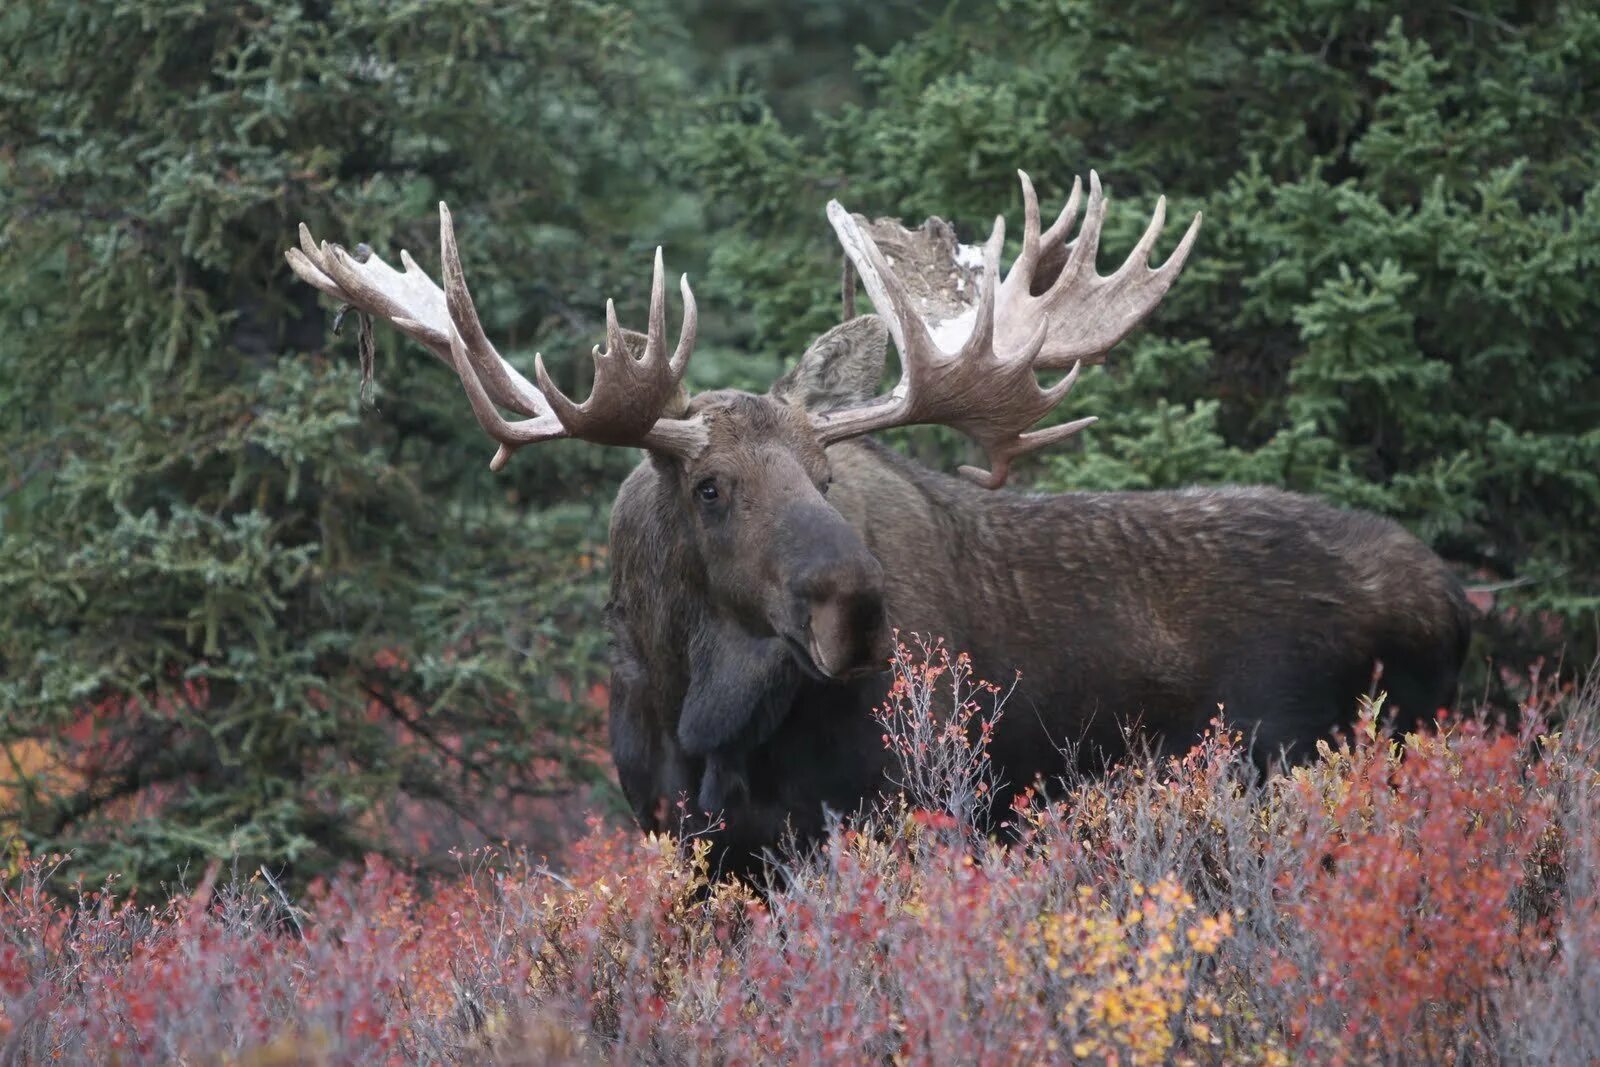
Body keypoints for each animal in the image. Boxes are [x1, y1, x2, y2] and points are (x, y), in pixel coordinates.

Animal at [284, 173, 1465, 876]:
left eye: (824, 472)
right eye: (710, 486)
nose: (856, 606)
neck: (694, 713)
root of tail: (1453, 601)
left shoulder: (888, 816)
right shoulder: (690, 844)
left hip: (1299, 759)